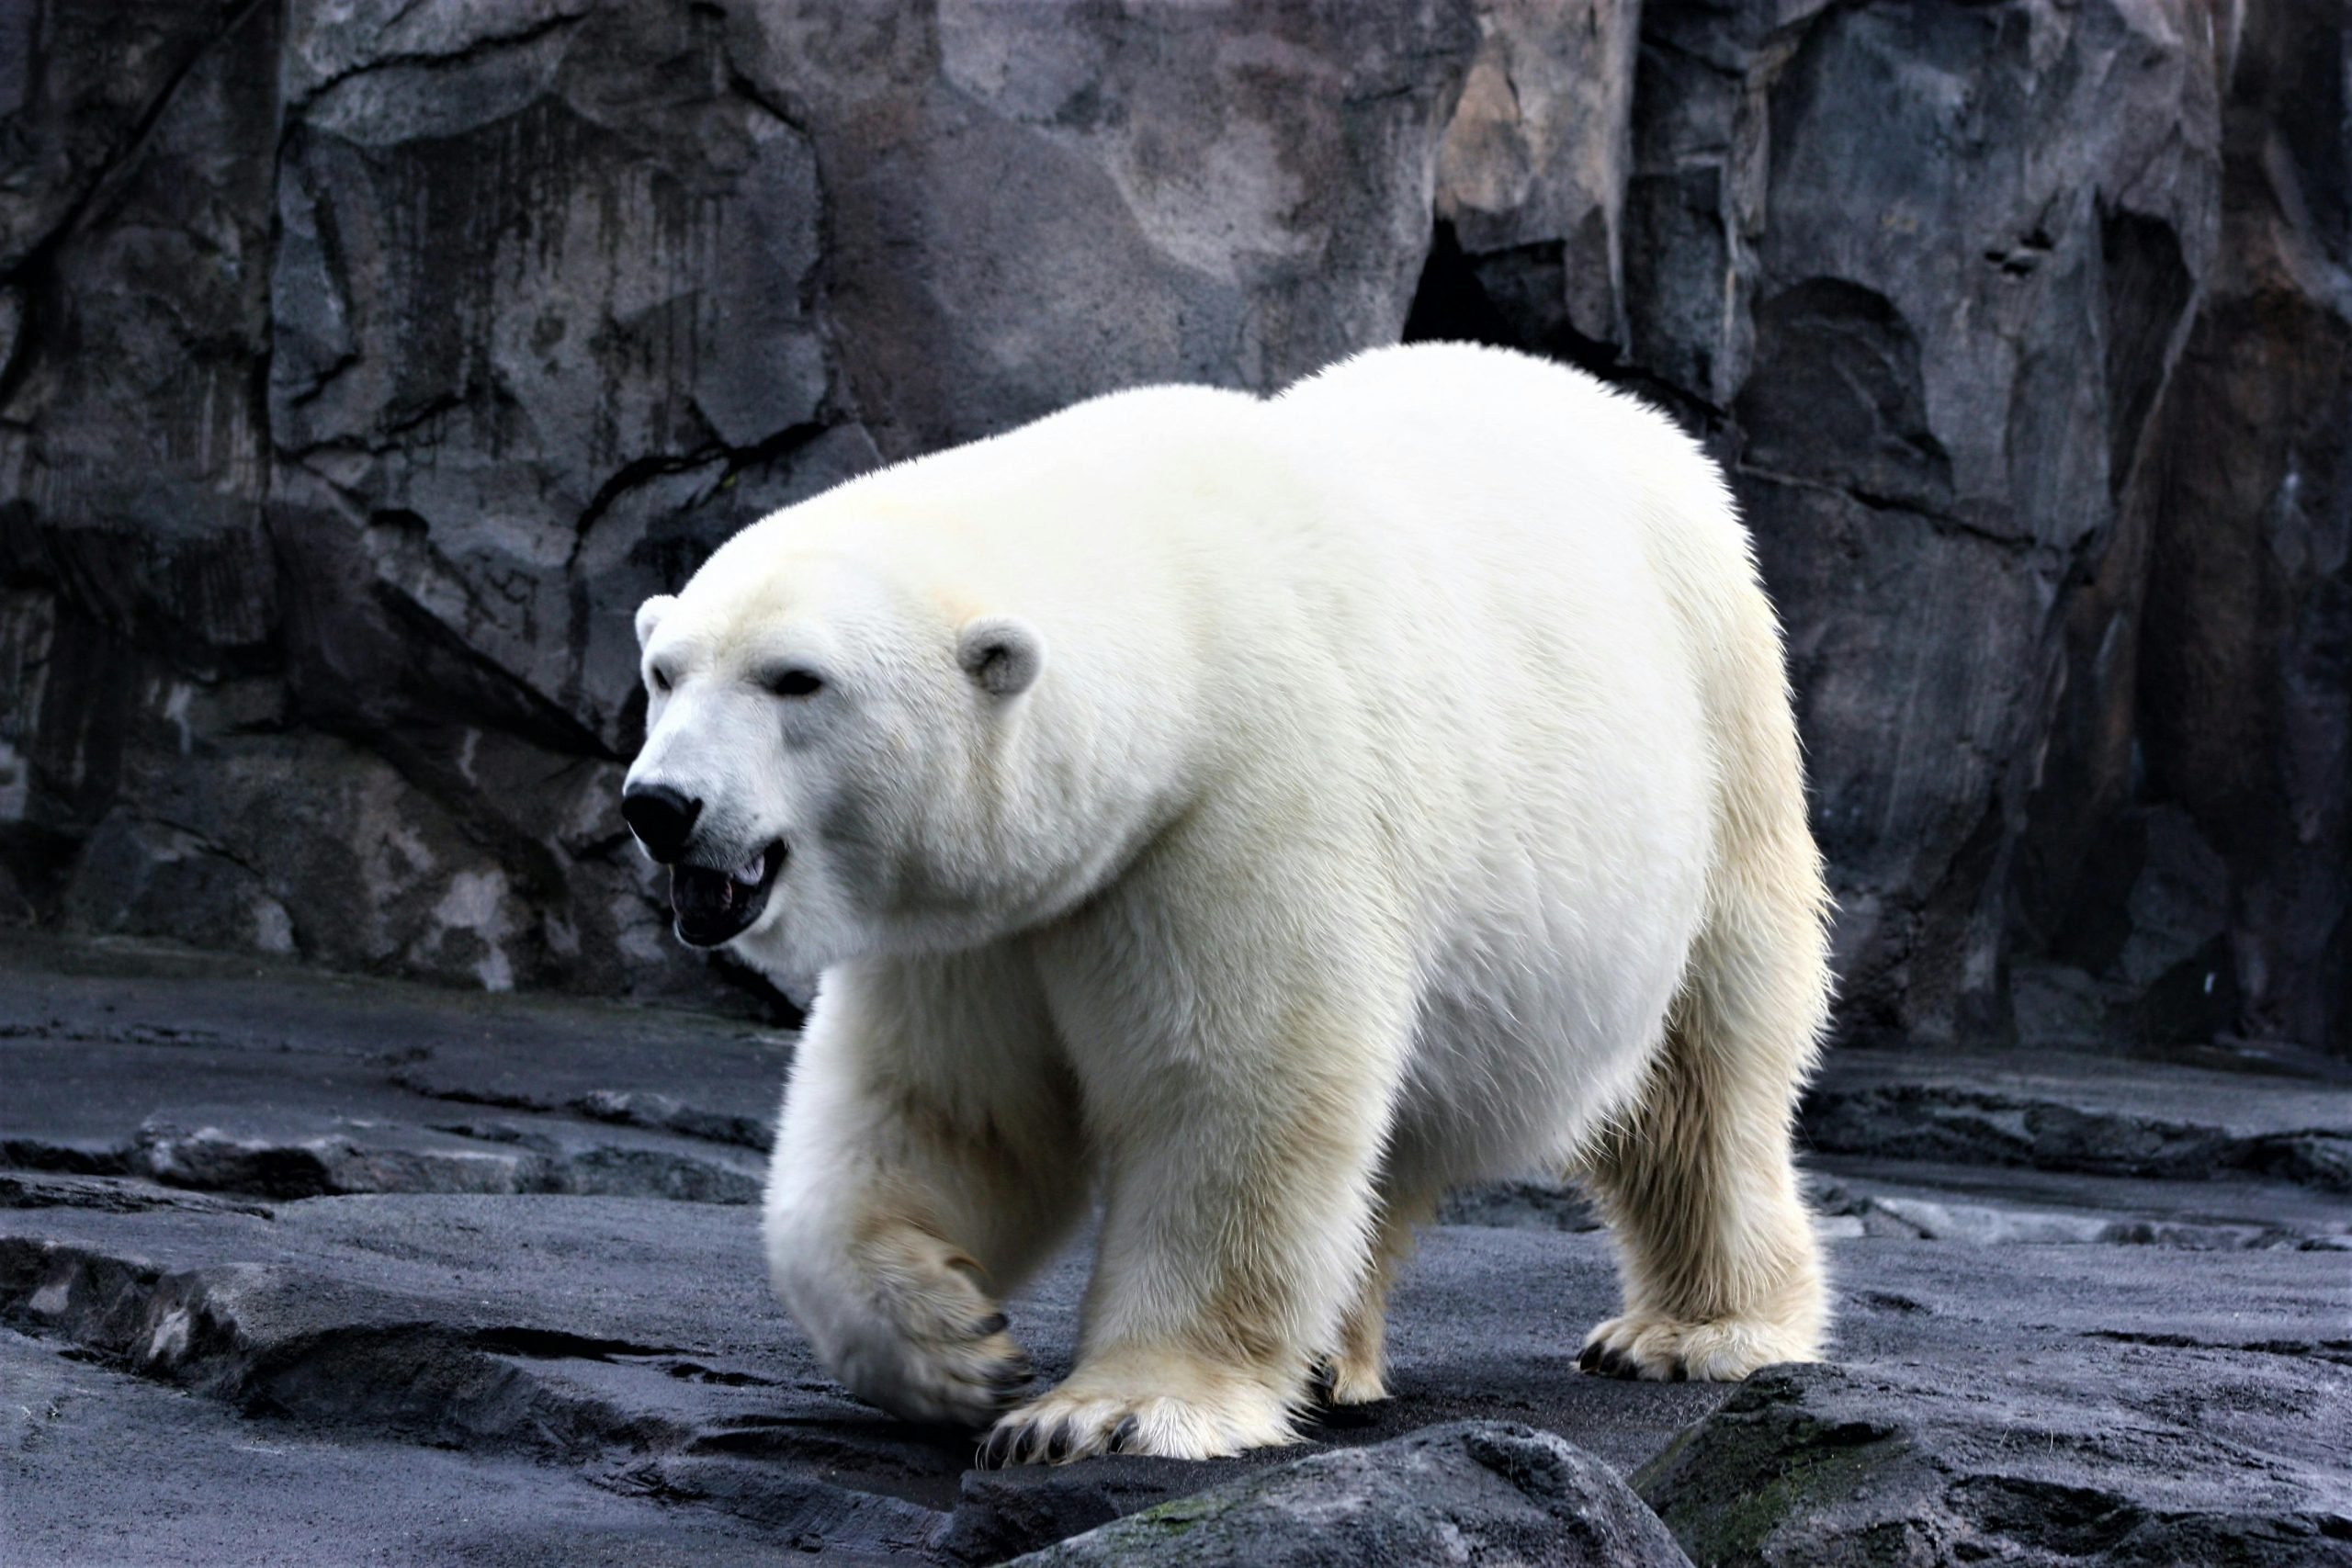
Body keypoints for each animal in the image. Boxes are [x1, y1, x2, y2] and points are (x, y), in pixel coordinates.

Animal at [625, 341, 1834, 1457]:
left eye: (796, 680)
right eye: (665, 671)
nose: (660, 804)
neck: (1172, 622)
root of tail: (1624, 410)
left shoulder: (1237, 807)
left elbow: (1229, 1091)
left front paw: (1107, 1411)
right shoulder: (988, 918)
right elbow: (944, 1108)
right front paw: (951, 1338)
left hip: (1718, 747)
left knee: (1704, 1073)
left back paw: (1694, 1331)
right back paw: (1337, 1359)